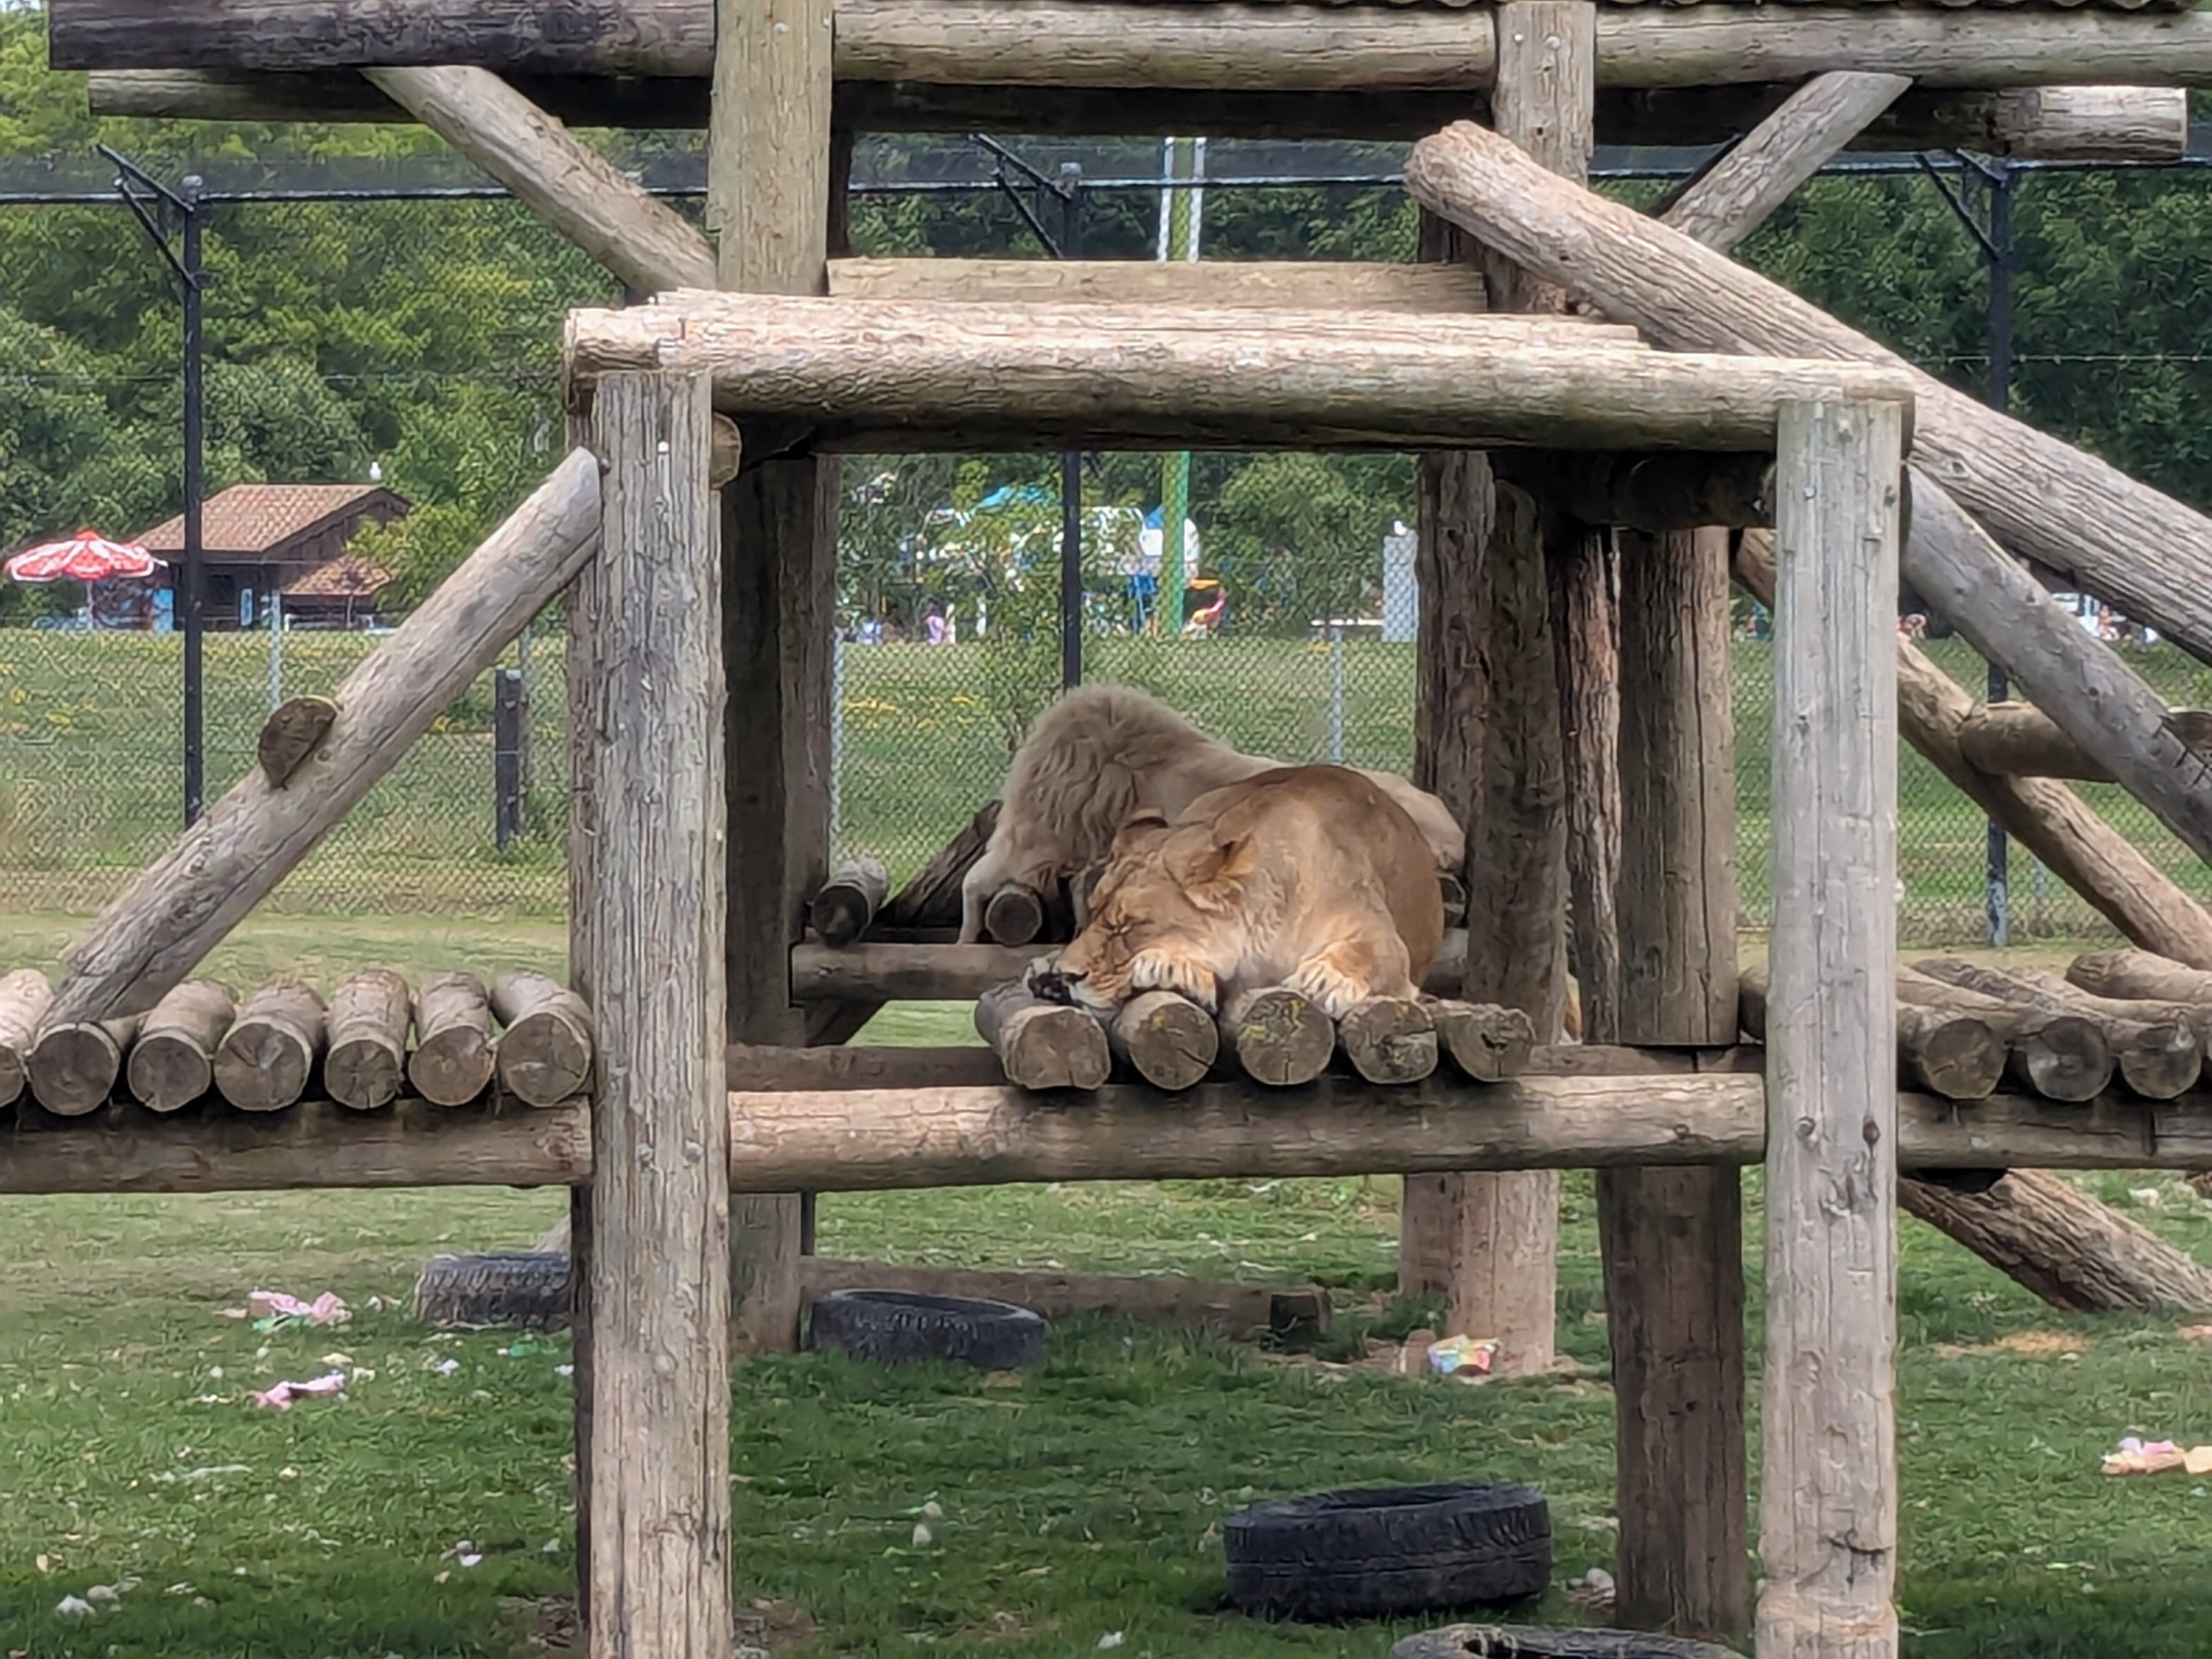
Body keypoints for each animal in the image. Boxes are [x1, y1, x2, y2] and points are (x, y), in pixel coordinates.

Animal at [1023, 764, 1445, 1022]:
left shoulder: (1383, 938)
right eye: (1092, 915)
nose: (1068, 974)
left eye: (1128, 927)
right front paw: (1172, 968)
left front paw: (1325, 981)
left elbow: (1368, 953)